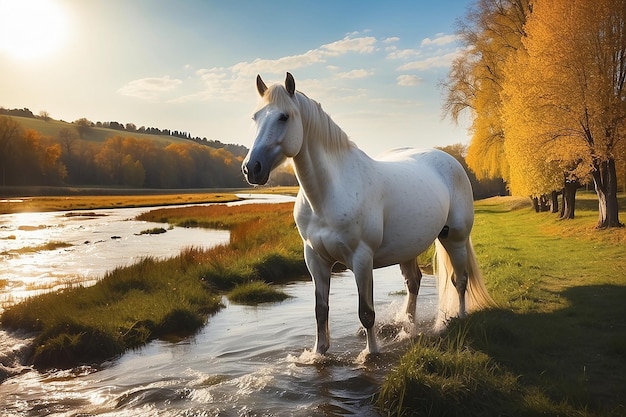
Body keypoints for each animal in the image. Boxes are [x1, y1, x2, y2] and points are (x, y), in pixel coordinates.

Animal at [241, 73, 490, 352]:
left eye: (284, 116)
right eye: (255, 117)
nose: (251, 168)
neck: (329, 194)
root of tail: (451, 161)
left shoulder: (361, 260)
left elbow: (366, 313)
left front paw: (370, 353)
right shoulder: (315, 260)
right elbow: (320, 311)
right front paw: (318, 353)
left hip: (454, 238)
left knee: (460, 280)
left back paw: (461, 317)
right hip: (409, 247)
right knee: (413, 282)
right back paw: (408, 325)